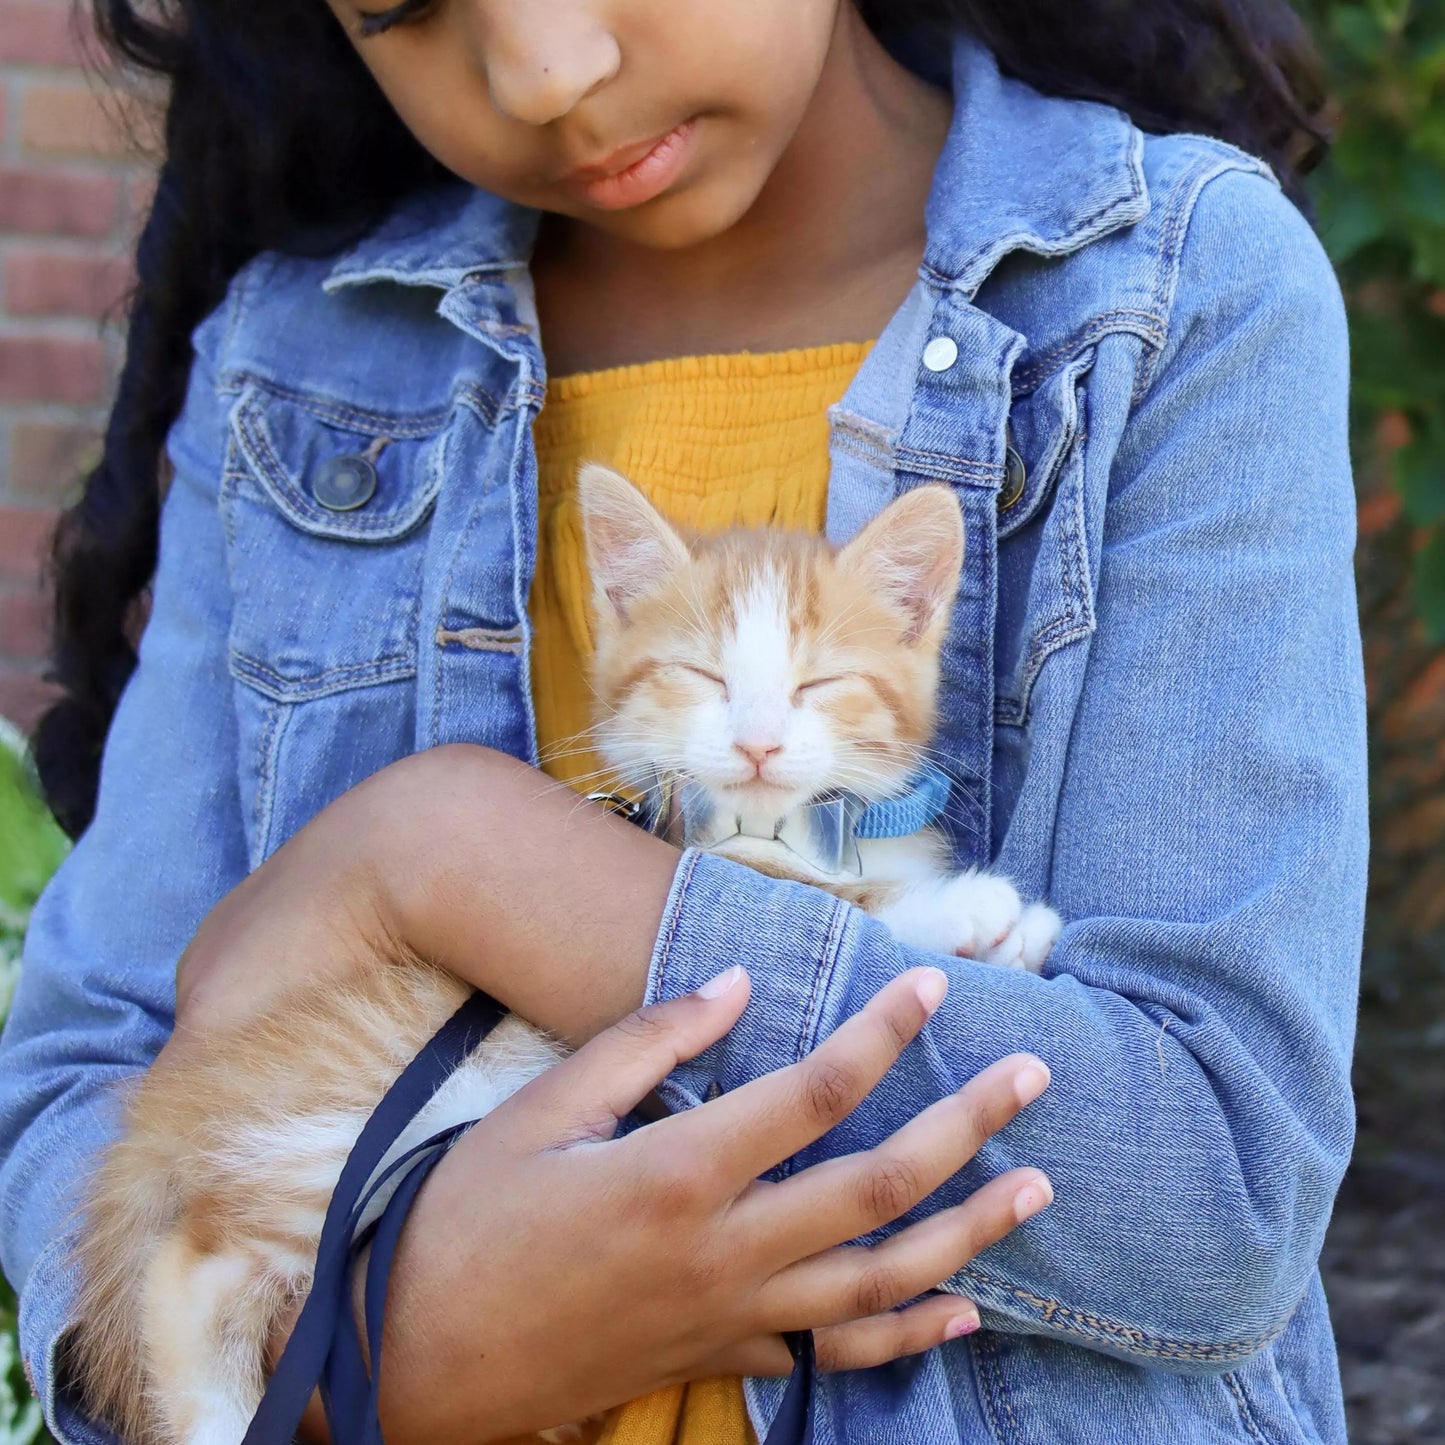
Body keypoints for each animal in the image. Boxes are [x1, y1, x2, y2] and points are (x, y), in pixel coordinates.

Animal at [70, 465, 1063, 1445]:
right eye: (701, 675)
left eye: (819, 684)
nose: (756, 743)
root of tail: (177, 1106)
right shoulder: (704, 852)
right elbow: (807, 892)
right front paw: (971, 908)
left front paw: (1003, 931)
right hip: (389, 1113)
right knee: (191, 1265)